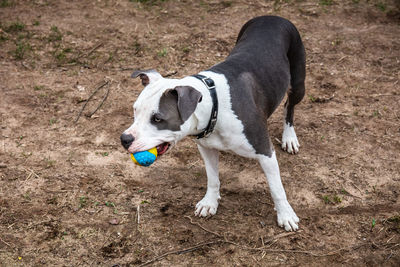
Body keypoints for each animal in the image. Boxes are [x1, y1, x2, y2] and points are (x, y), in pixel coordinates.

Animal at [120, 15, 304, 231]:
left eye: (157, 119)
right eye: (135, 110)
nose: (124, 139)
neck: (215, 107)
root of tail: (273, 16)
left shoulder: (265, 151)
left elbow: (276, 188)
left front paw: (286, 214)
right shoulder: (206, 148)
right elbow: (212, 178)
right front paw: (210, 202)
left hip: (298, 83)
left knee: (289, 107)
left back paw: (289, 137)